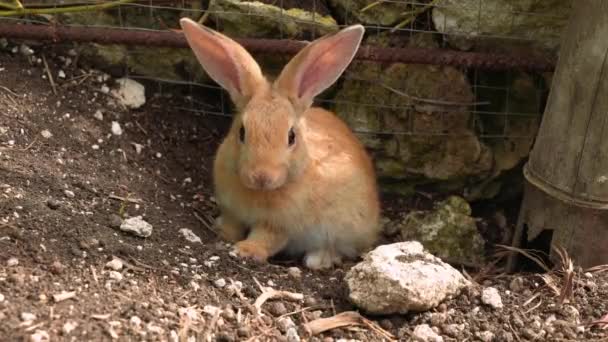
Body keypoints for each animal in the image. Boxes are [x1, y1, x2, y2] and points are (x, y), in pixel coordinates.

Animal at [179, 18, 380, 270]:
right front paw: (222, 234)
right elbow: (232, 225)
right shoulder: (232, 210)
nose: (261, 177)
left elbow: (267, 238)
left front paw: (246, 250)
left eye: (291, 136)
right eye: (242, 132)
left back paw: (319, 259)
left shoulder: (280, 226)